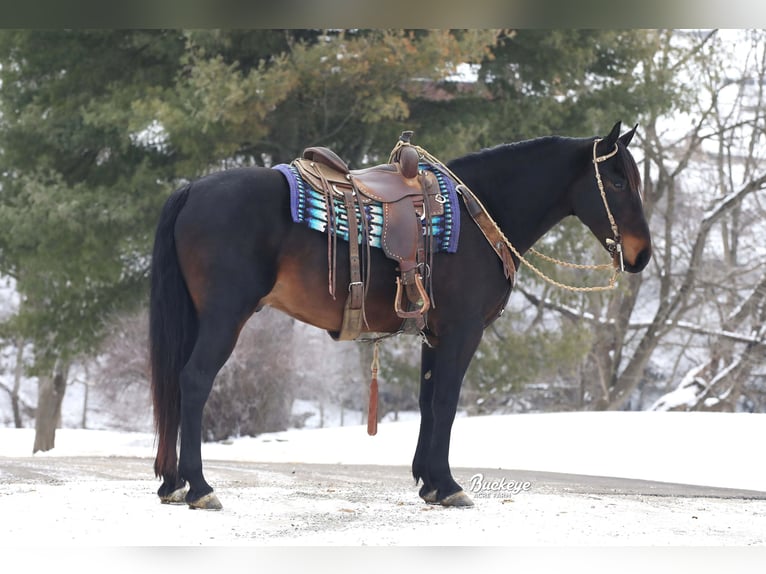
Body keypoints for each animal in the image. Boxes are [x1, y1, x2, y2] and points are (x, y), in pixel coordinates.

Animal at [148, 122, 656, 512]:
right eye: (616, 182)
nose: (641, 254)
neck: (478, 213)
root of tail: (193, 190)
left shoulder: (435, 334)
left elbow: (428, 402)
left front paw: (429, 483)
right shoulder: (462, 331)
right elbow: (446, 403)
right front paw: (449, 487)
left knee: (175, 383)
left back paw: (172, 484)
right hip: (224, 318)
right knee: (194, 380)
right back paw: (199, 488)